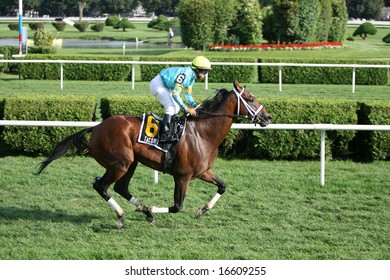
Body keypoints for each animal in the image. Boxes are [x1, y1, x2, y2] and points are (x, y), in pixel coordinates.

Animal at [36, 81, 272, 228]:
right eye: (250, 98)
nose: (268, 118)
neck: (203, 132)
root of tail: (97, 127)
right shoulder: (182, 176)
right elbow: (177, 207)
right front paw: (153, 208)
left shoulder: (203, 171)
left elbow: (222, 186)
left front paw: (202, 210)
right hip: (120, 163)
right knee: (100, 185)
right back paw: (122, 215)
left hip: (131, 163)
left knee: (121, 188)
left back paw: (143, 211)